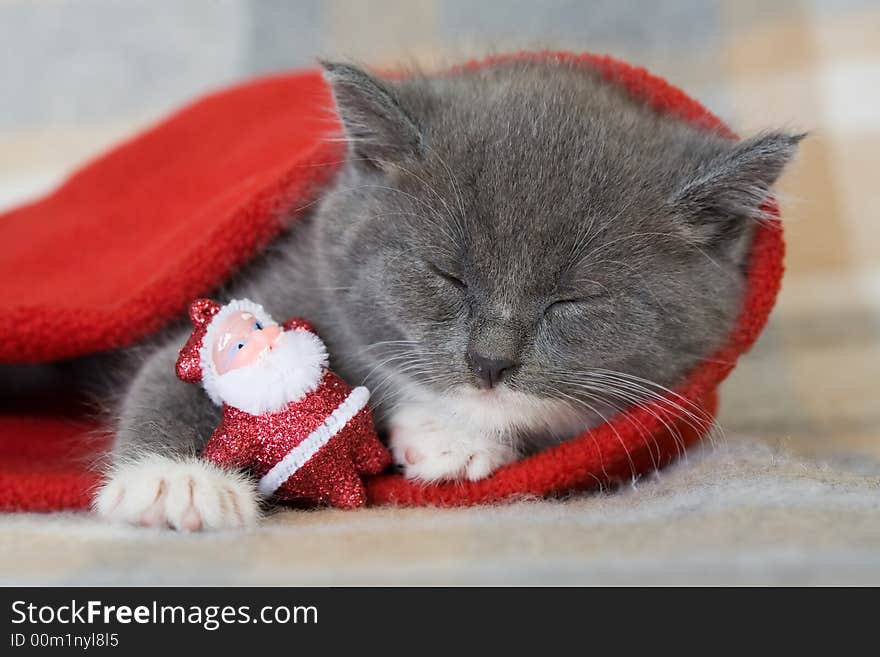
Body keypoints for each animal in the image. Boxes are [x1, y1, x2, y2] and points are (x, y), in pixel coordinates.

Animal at [94, 56, 796, 528]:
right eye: (446, 277)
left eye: (572, 301)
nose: (490, 361)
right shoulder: (297, 274)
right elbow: (168, 369)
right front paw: (174, 483)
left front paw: (453, 438)